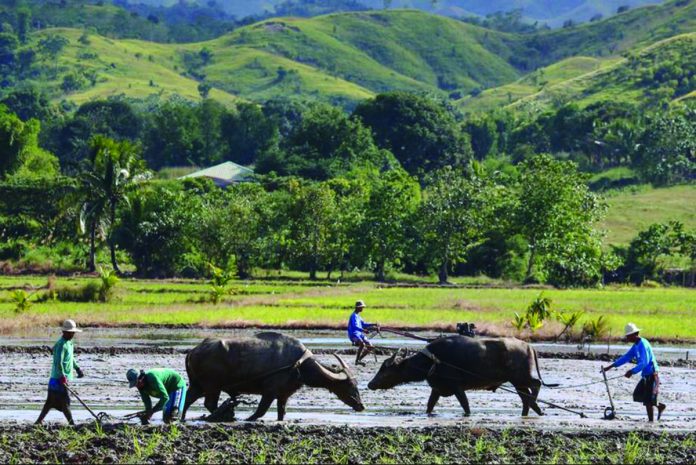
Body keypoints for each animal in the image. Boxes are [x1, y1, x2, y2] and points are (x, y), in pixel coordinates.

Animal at [182, 330, 364, 420]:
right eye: (350, 385)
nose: (361, 406)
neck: (298, 365)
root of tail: (194, 350)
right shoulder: (269, 392)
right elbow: (260, 411)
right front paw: (248, 418)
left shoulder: (283, 395)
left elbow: (281, 413)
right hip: (212, 386)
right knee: (209, 403)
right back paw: (227, 415)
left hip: (198, 385)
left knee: (188, 400)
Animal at [364, 336, 556, 416]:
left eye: (385, 369)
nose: (370, 384)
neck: (433, 361)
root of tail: (529, 346)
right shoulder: (437, 389)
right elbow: (429, 406)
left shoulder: (457, 387)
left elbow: (465, 406)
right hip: (517, 382)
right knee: (525, 397)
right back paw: (532, 411)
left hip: (520, 378)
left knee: (536, 384)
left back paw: (534, 406)